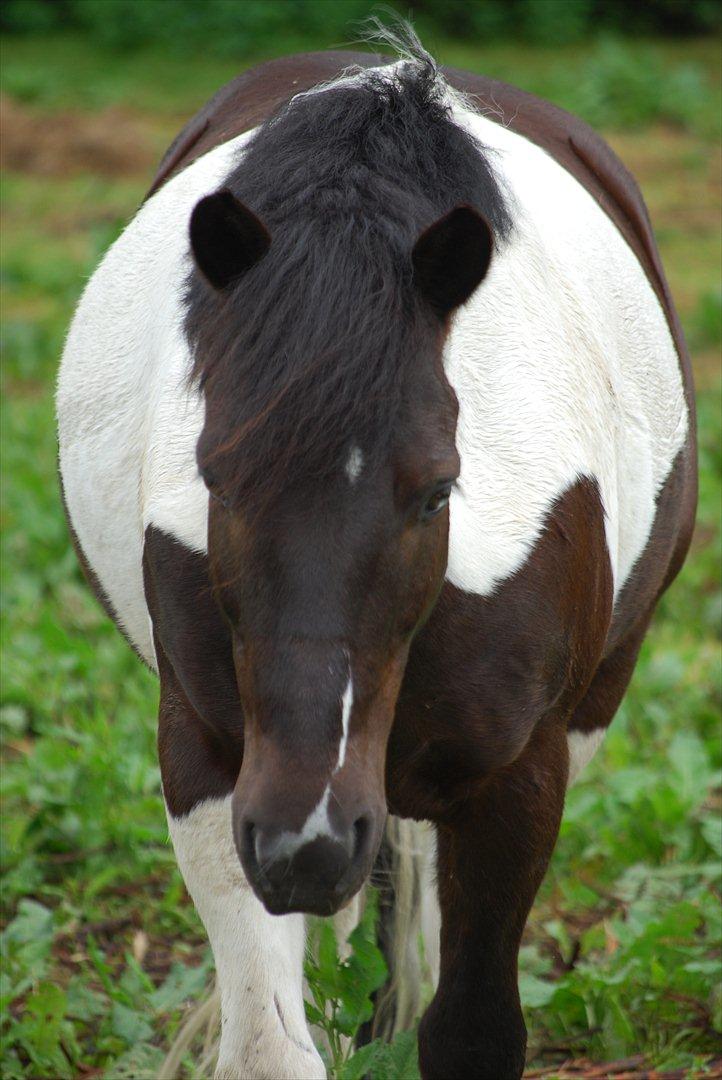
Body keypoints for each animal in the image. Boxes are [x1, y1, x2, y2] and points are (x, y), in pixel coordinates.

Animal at [59, 29, 695, 1075]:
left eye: (439, 489)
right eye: (215, 479)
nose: (305, 844)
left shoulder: (518, 779)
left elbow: (471, 1031)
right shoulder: (211, 761)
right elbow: (271, 1047)